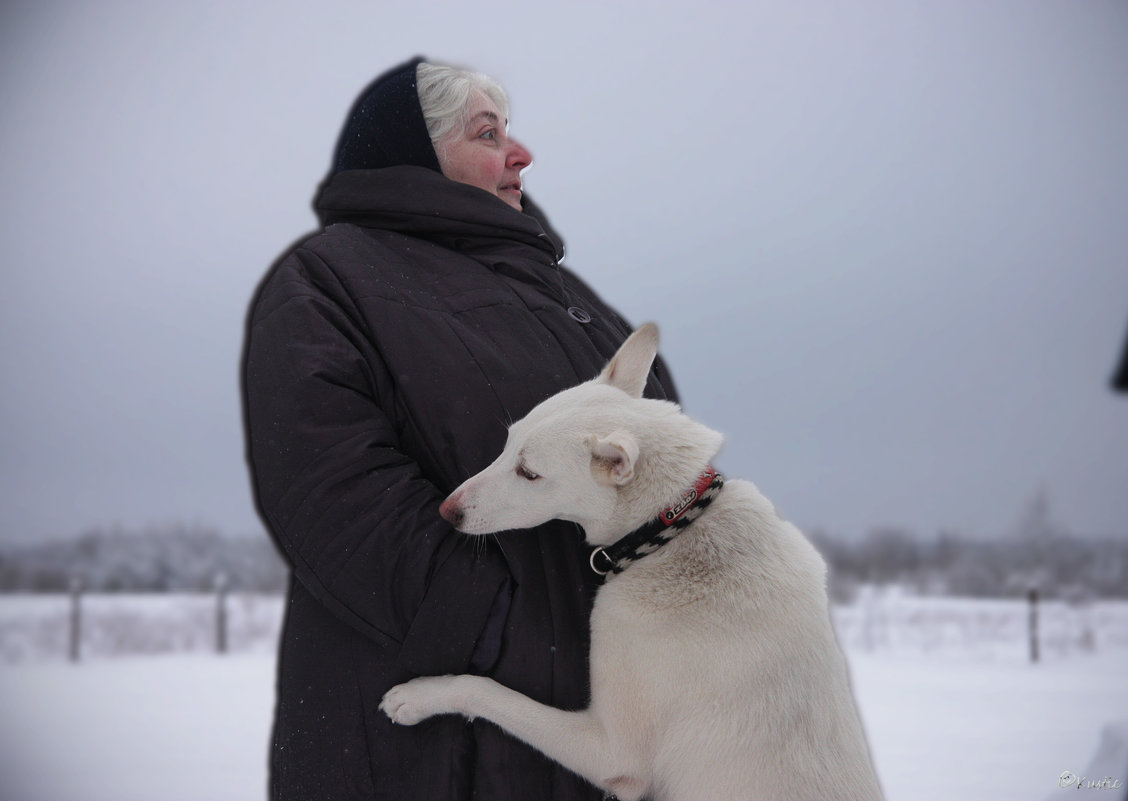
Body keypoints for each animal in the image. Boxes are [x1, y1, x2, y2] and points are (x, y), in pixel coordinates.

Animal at [383, 327, 884, 801]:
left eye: (529, 473)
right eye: (508, 444)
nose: (448, 510)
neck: (671, 529)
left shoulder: (611, 751)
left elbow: (484, 690)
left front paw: (420, 695)